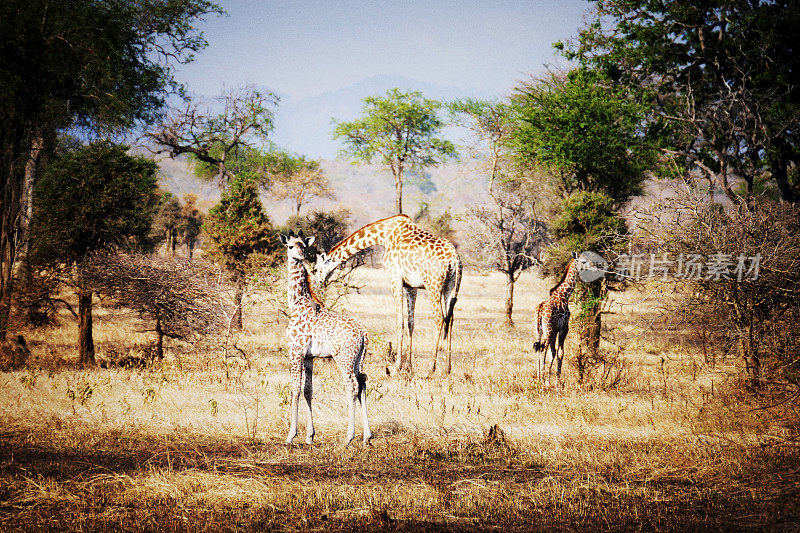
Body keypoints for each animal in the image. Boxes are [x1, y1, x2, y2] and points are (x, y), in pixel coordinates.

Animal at [280, 232, 374, 444]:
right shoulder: (308, 357)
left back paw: (349, 437)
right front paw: (310, 436)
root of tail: (363, 332)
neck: (296, 303)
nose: (302, 256)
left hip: (344, 357)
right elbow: (308, 390)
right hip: (358, 359)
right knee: (363, 381)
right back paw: (367, 436)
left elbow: (295, 388)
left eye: (303, 246)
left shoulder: (295, 351)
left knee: (352, 386)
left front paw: (291, 436)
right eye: (290, 246)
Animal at [314, 213, 462, 374]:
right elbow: (410, 323)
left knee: (439, 317)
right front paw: (409, 366)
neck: (384, 235)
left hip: (433, 285)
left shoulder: (394, 277)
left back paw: (432, 367)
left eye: (316, 270)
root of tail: (454, 259)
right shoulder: (411, 286)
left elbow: (399, 321)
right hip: (450, 287)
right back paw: (448, 368)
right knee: (450, 318)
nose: (317, 287)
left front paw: (397, 366)